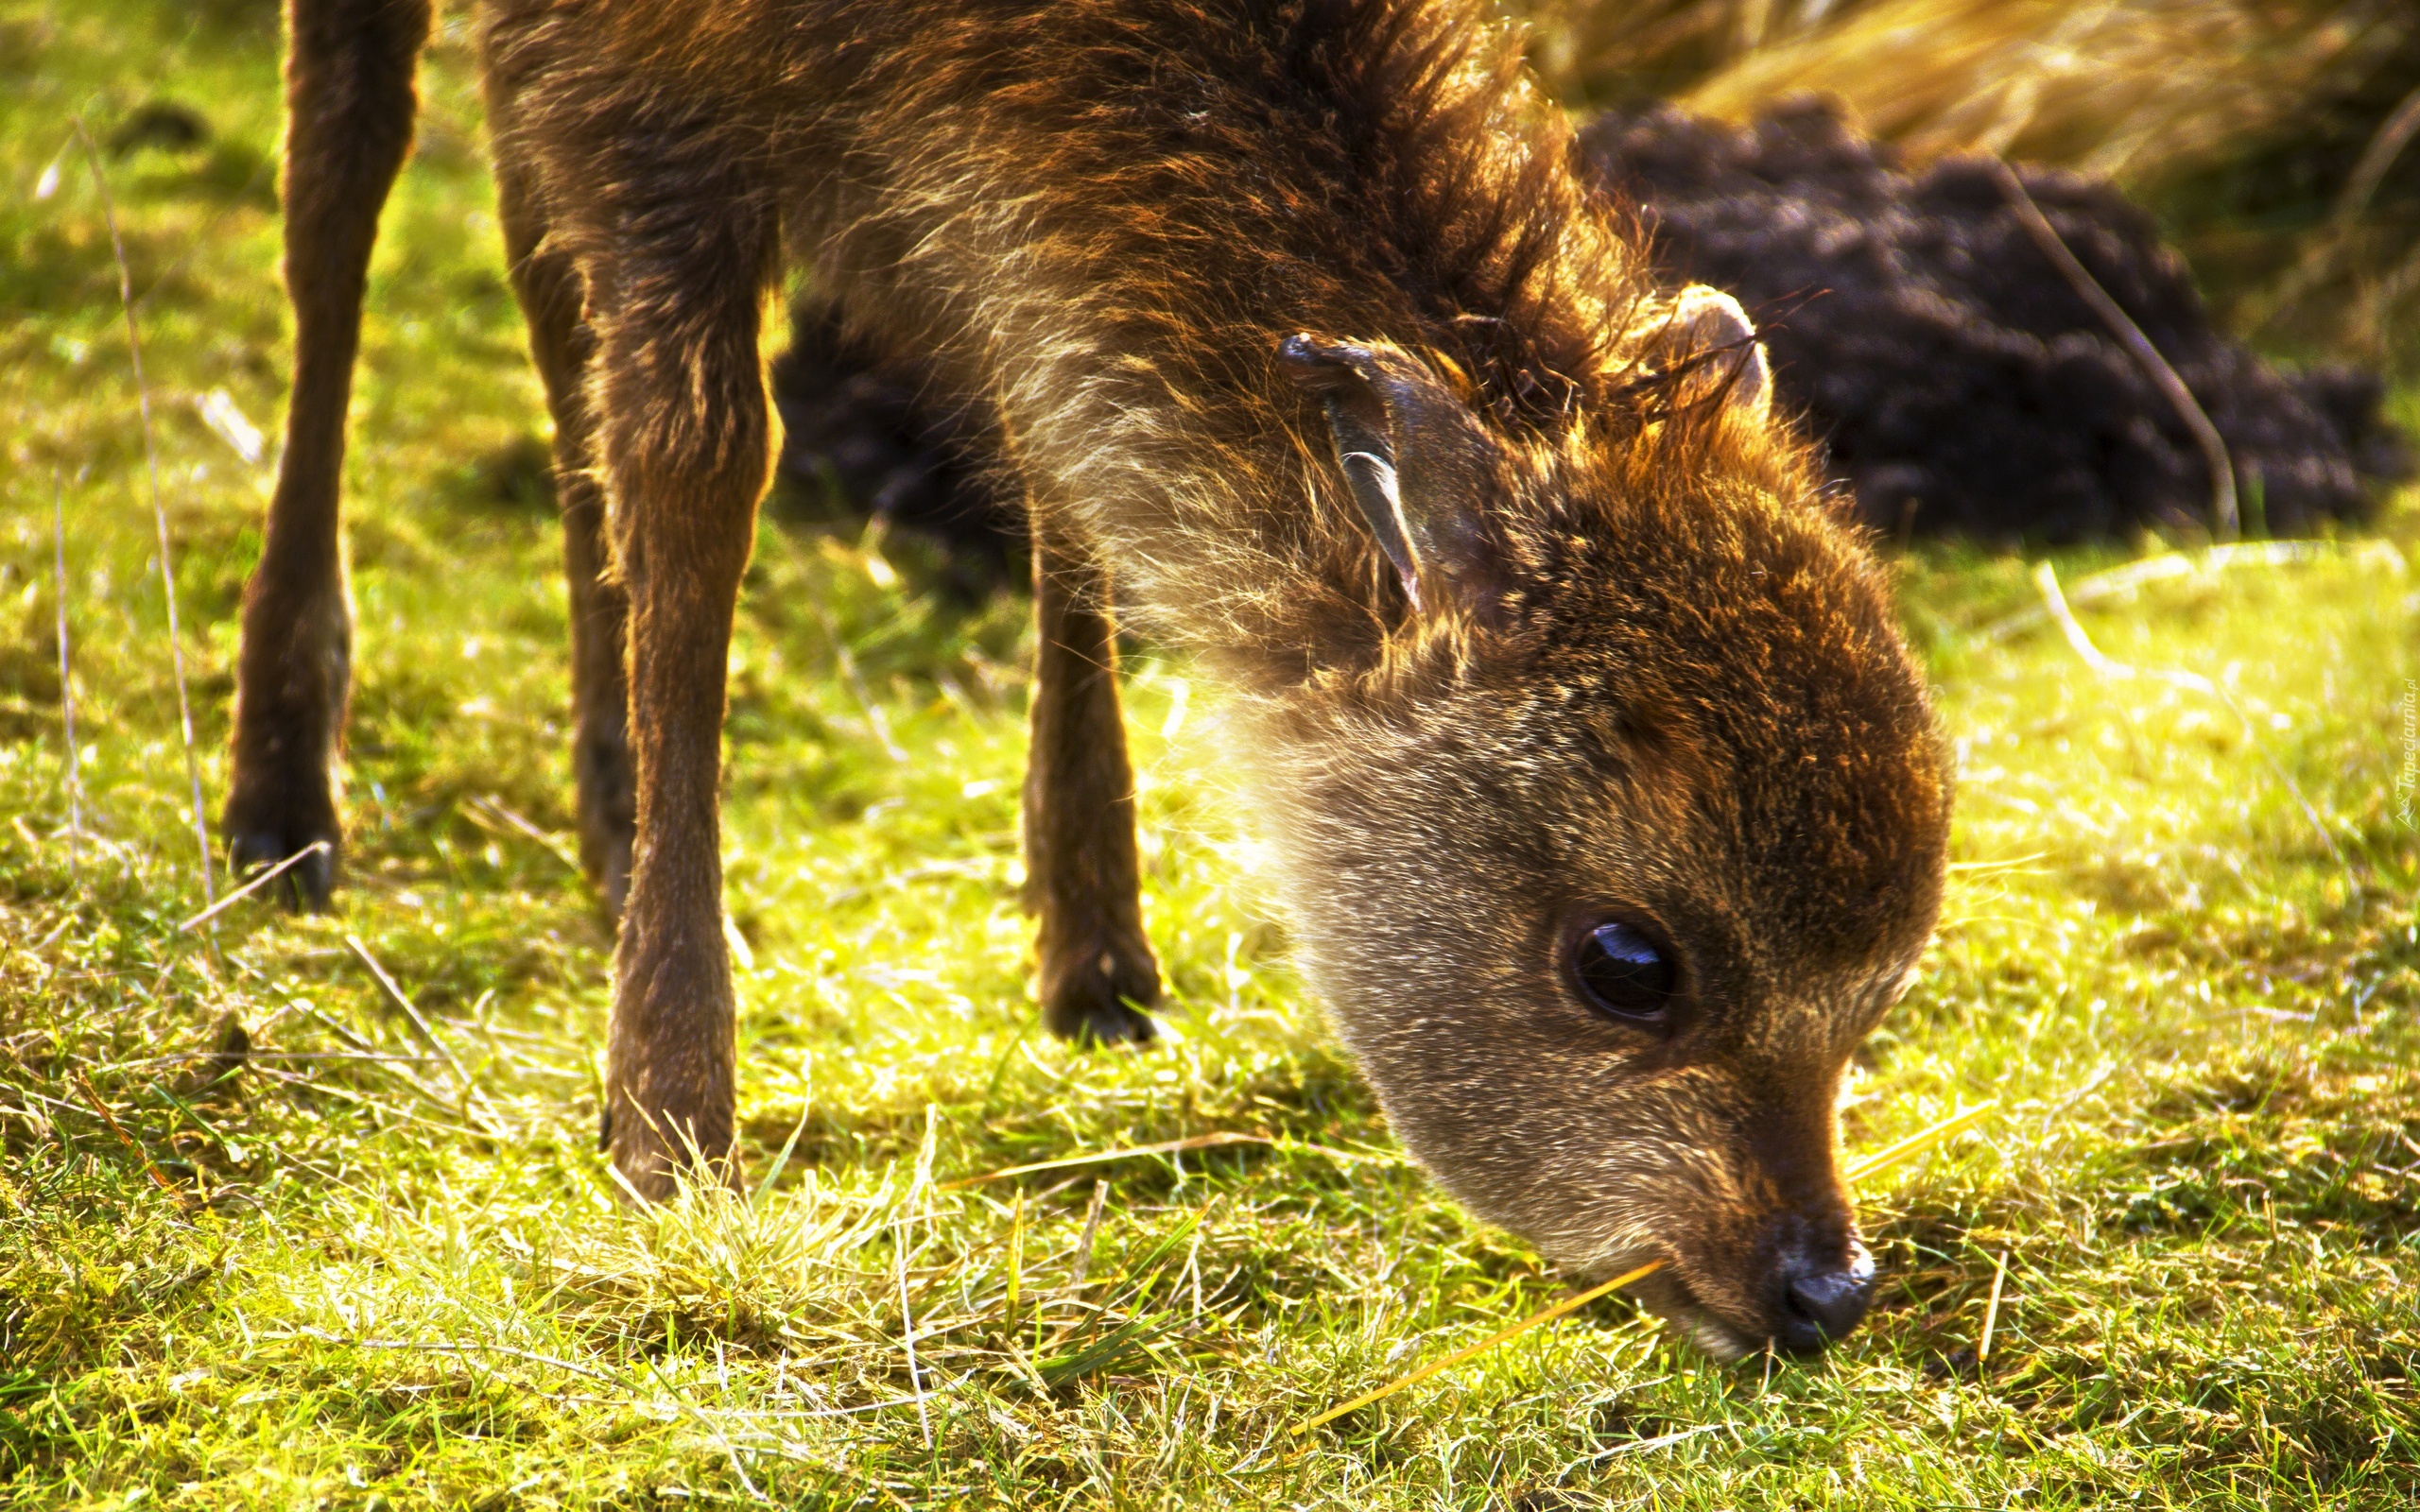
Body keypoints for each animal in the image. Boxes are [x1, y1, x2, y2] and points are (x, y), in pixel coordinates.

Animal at [231, 0, 1945, 1354]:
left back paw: (600, 809)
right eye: (1628, 960)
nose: (1822, 1287)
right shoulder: (646, 96)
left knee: (524, 257)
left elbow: (1053, 453)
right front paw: (667, 1124)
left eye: (1887, 980)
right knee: (338, 181)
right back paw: (281, 801)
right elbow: (701, 470)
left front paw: (1101, 959)